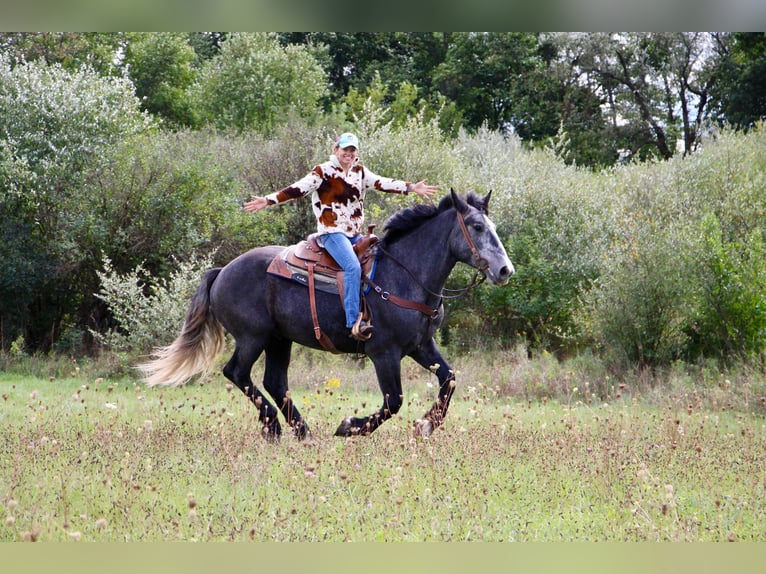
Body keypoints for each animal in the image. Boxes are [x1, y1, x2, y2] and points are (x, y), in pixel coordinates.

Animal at [141, 191, 520, 438]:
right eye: (476, 226)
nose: (505, 270)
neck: (405, 275)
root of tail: (223, 271)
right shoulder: (383, 352)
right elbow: (393, 400)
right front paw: (350, 426)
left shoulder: (420, 346)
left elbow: (449, 379)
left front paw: (426, 424)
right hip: (252, 337)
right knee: (236, 373)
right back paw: (274, 426)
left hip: (279, 339)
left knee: (274, 382)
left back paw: (301, 430)